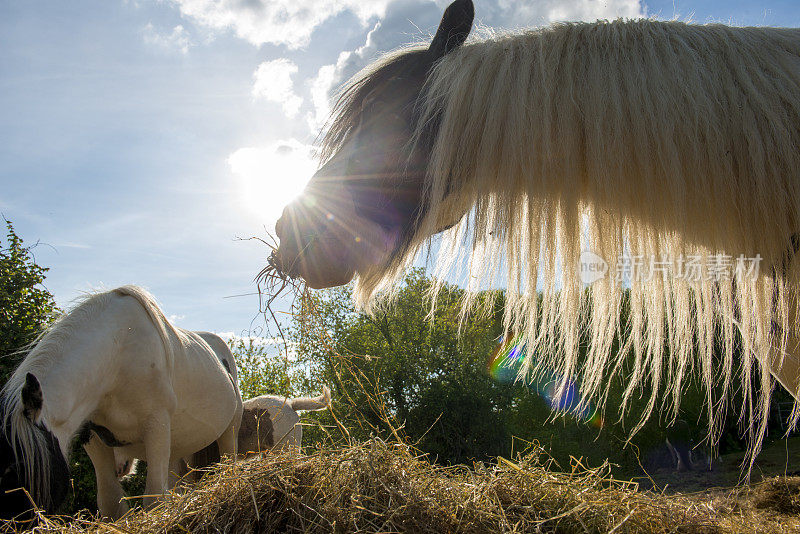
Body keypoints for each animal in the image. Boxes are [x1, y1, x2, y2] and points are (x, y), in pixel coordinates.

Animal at [0, 286, 244, 520]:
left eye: (11, 470)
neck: (117, 352)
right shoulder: (93, 437)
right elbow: (111, 504)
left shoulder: (156, 426)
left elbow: (154, 499)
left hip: (229, 432)